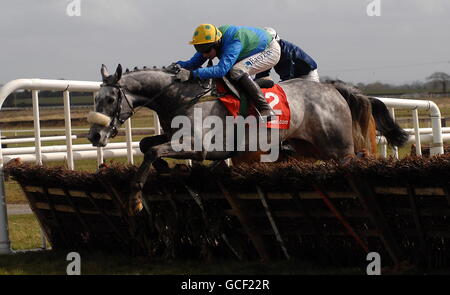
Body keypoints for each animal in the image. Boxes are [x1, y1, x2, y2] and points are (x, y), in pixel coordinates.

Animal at [87, 65, 404, 214]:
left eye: (111, 99)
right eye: (95, 98)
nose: (94, 135)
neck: (181, 97)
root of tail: (333, 88)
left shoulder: (198, 147)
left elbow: (152, 152)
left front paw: (135, 200)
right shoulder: (176, 137)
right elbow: (147, 145)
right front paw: (165, 169)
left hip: (338, 147)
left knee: (357, 162)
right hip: (312, 148)